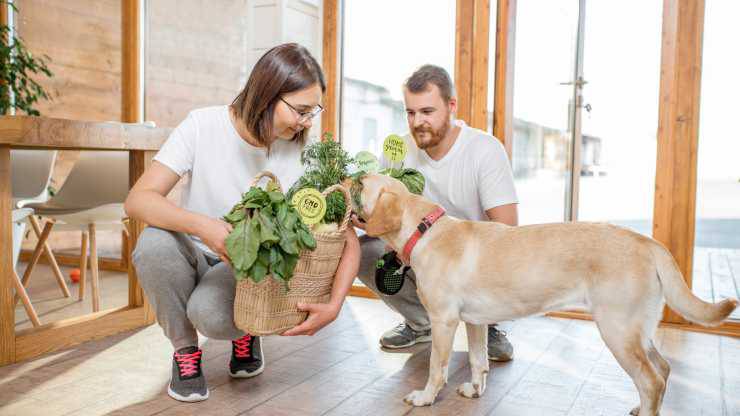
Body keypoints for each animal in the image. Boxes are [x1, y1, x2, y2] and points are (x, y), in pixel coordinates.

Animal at [346, 173, 736, 416]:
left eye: (361, 182)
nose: (346, 177)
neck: (424, 230)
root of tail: (647, 242)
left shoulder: (444, 321)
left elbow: (435, 368)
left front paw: (425, 398)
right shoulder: (474, 322)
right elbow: (477, 360)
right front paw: (475, 390)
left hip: (618, 331)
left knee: (651, 380)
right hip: (637, 331)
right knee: (663, 370)